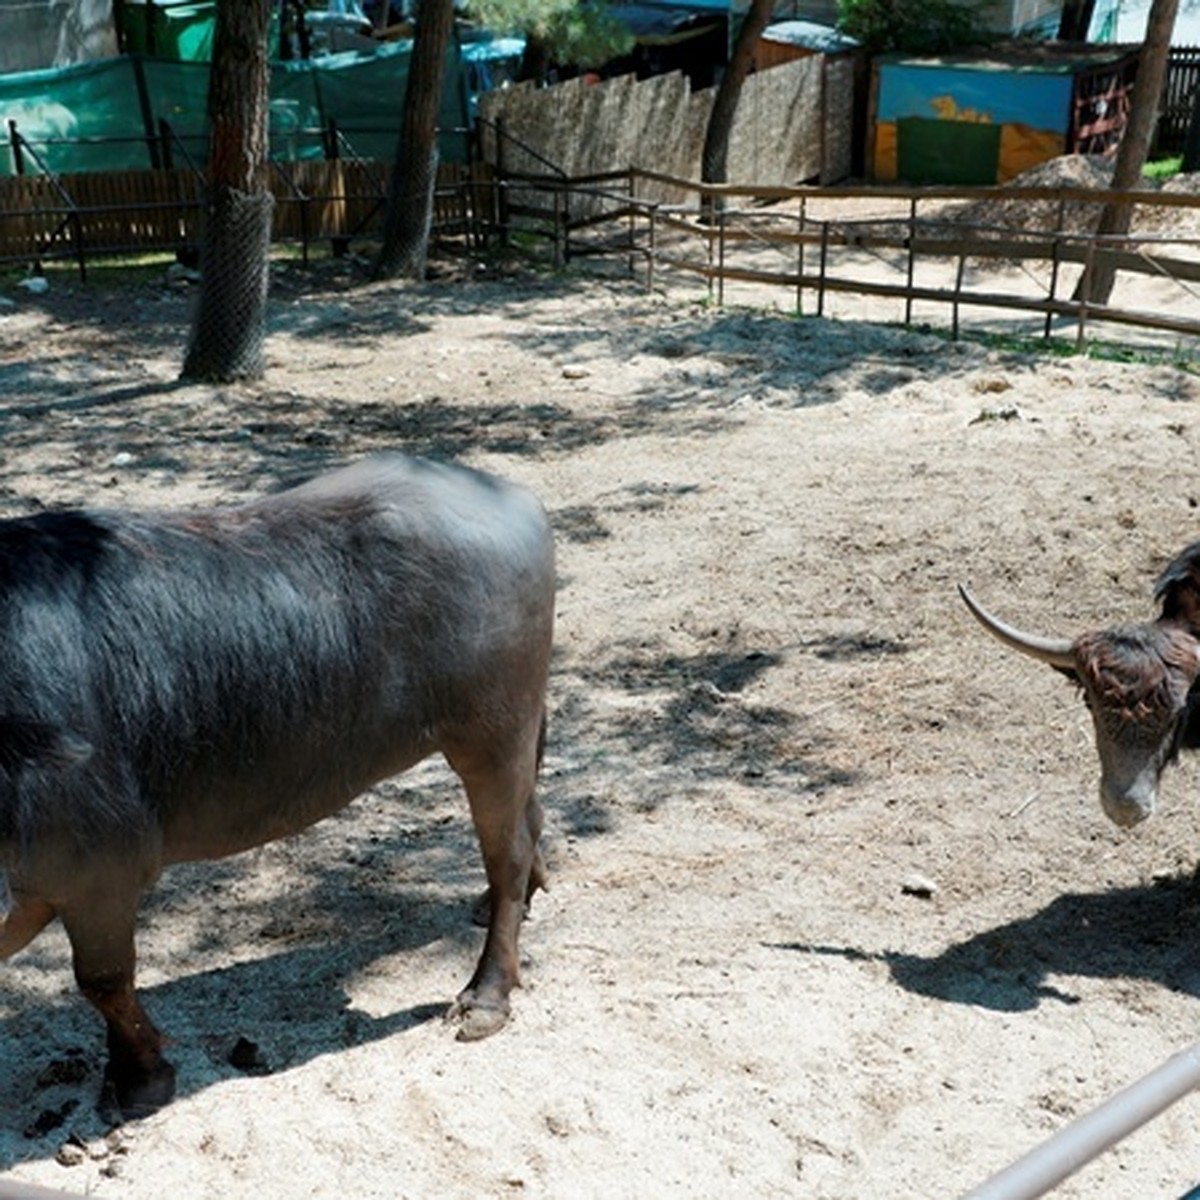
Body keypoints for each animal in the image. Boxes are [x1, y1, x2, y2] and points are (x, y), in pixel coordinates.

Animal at [0, 453, 552, 1118]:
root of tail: (511, 498)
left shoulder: (97, 875)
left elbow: (103, 982)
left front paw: (140, 1081)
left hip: (492, 736)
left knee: (508, 848)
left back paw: (487, 993)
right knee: (530, 817)